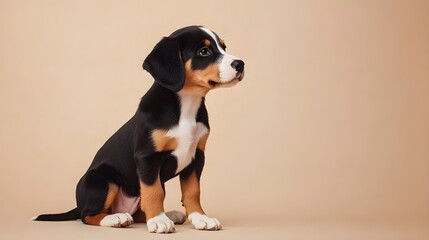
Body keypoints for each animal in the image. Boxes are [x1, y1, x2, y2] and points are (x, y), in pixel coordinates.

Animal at [33, 25, 244, 233]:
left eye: (224, 47)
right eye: (204, 51)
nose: (240, 64)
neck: (186, 106)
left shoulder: (196, 156)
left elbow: (193, 191)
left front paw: (200, 218)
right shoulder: (147, 158)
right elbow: (154, 192)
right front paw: (158, 221)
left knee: (139, 212)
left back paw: (169, 215)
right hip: (102, 180)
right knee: (88, 215)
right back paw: (117, 218)